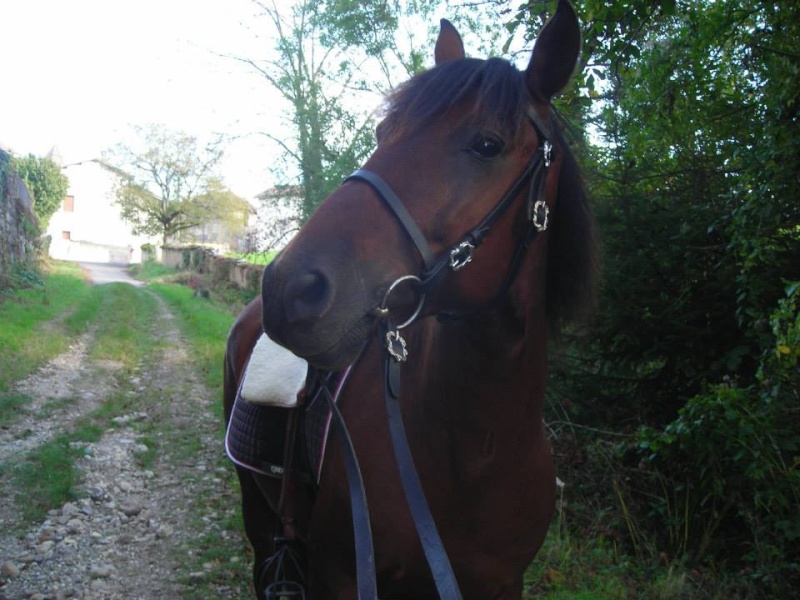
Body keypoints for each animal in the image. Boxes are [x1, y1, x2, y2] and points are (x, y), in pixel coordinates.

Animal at [222, 1, 596, 596]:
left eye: (487, 145)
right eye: (383, 131)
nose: (288, 288)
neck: (477, 451)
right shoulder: (338, 574)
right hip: (257, 517)